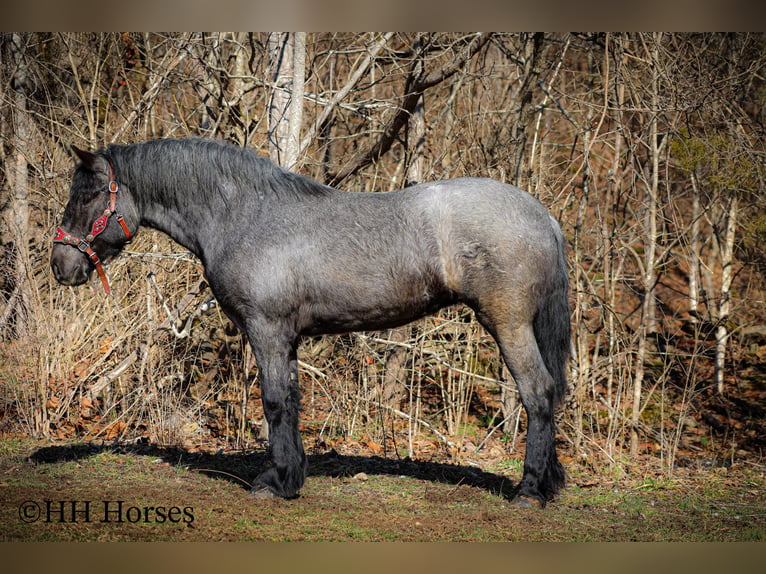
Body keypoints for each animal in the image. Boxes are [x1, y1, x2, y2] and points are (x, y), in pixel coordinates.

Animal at [51, 138, 572, 508]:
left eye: (90, 195)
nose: (61, 265)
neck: (245, 215)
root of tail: (542, 215)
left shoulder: (266, 330)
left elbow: (275, 402)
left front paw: (273, 482)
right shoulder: (288, 339)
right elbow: (292, 402)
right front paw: (289, 475)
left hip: (508, 325)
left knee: (538, 394)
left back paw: (529, 491)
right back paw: (546, 483)